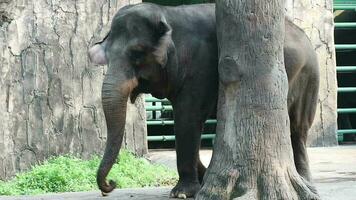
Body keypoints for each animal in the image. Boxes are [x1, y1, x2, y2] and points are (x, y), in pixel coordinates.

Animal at [88, 1, 320, 198]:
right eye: (107, 56)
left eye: (137, 54)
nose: (110, 184)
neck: (167, 14)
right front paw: (202, 177)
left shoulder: (199, 67)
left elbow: (187, 119)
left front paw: (181, 193)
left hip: (308, 78)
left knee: (298, 128)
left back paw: (307, 184)